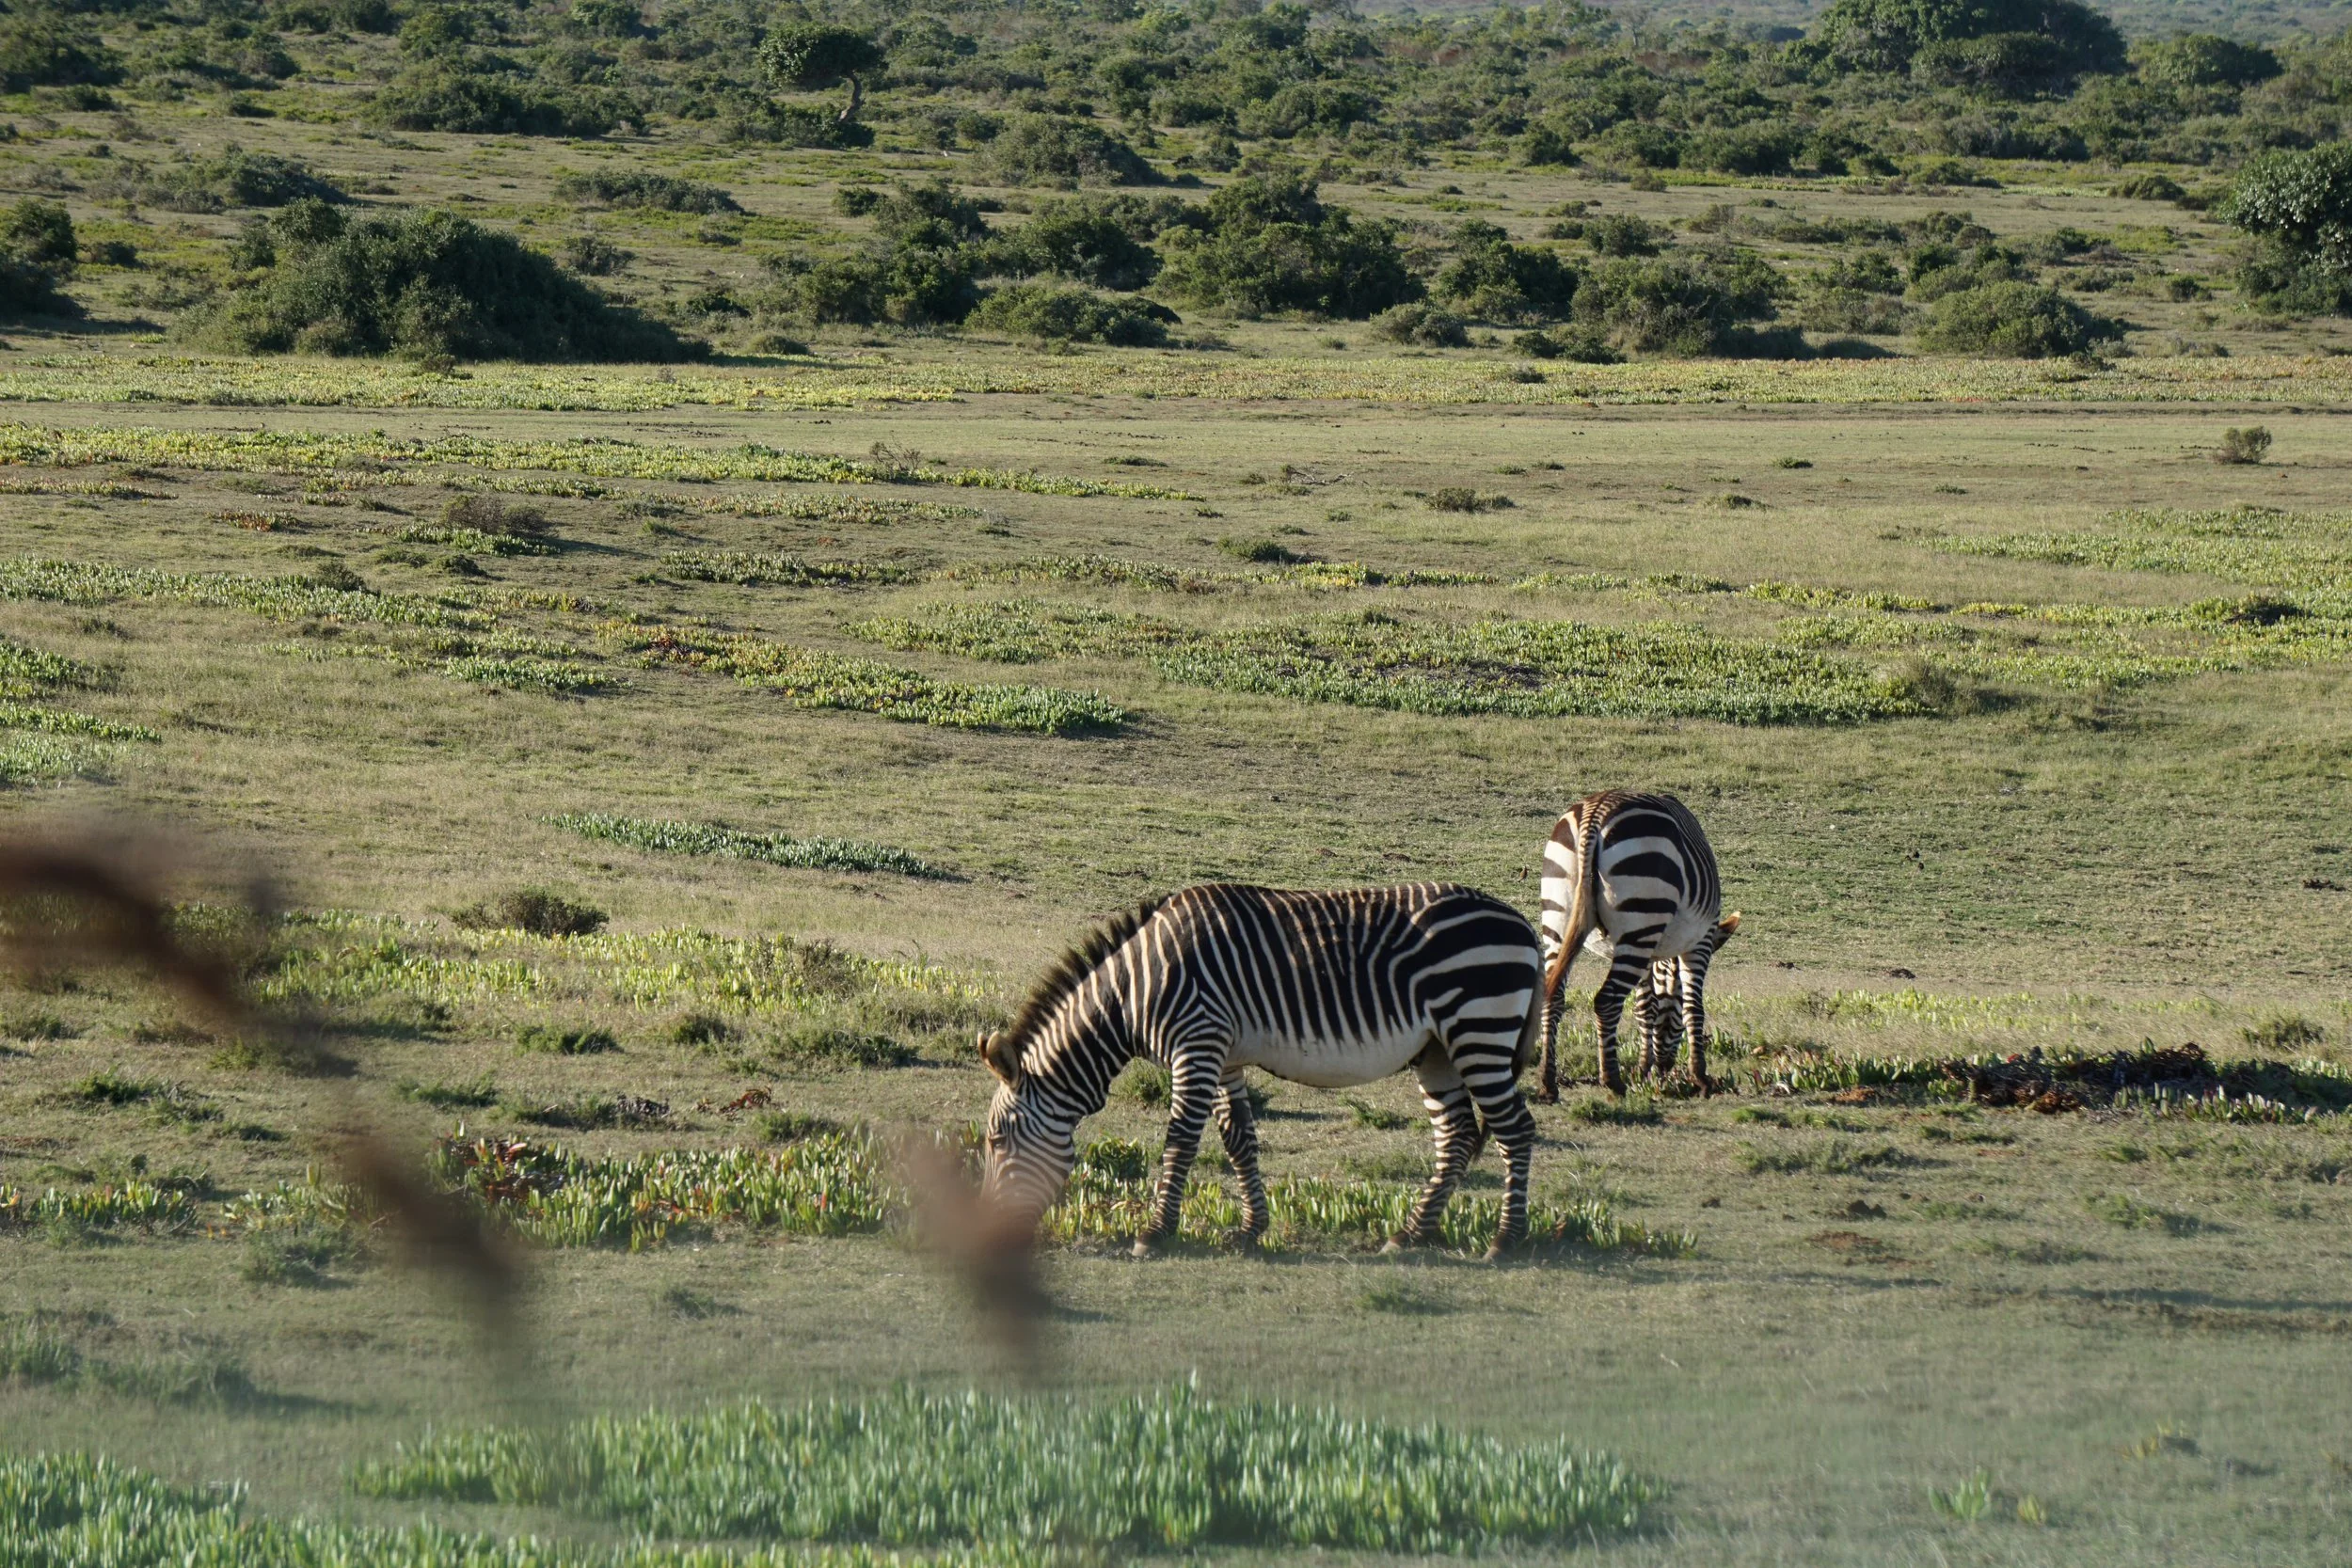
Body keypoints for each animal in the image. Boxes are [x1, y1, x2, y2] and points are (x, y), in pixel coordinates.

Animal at [977, 882, 1545, 1259]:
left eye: (995, 1141)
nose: (990, 1233)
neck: (1131, 994)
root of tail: (1520, 922)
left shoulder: (1196, 1041)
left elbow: (1180, 1140)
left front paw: (1155, 1233)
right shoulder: (1223, 1055)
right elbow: (1238, 1141)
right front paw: (1252, 1229)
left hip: (1478, 1028)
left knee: (1515, 1129)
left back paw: (1505, 1240)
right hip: (1438, 1049)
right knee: (1458, 1134)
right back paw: (1413, 1233)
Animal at [1535, 791, 1738, 1100]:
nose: (1664, 1067)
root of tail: (1596, 812)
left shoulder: (1647, 953)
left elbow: (1646, 1007)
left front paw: (1643, 1069)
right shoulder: (1699, 943)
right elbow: (1694, 1008)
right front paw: (1700, 1078)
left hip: (1561, 915)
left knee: (1553, 995)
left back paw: (1548, 1083)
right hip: (1642, 910)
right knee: (1607, 1000)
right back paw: (1612, 1081)